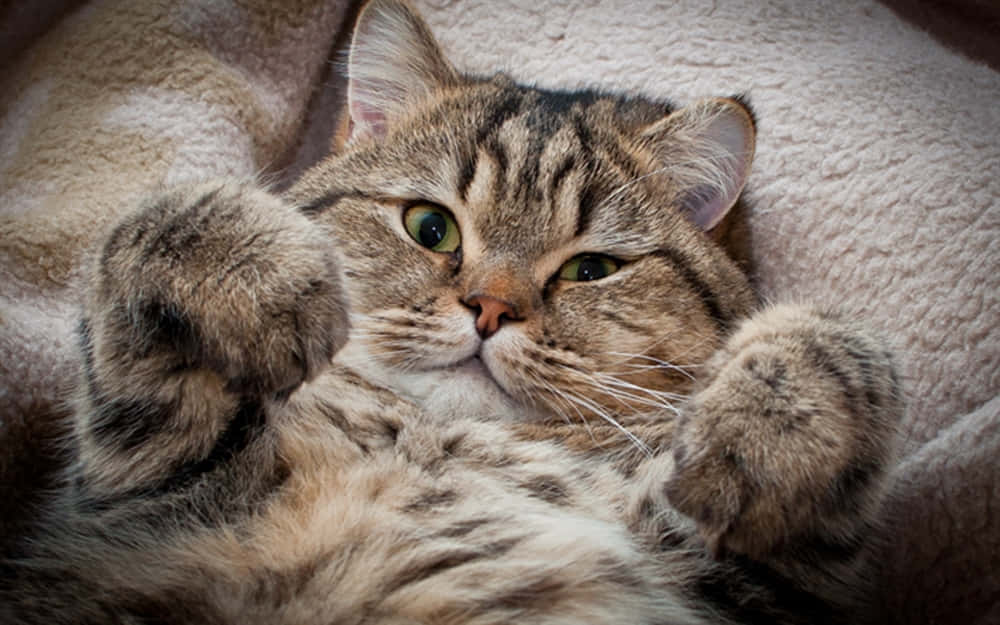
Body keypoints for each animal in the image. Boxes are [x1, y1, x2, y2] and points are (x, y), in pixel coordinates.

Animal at [0, 1, 904, 624]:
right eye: (430, 227)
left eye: (592, 269)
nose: (490, 308)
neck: (442, 438)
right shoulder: (137, 502)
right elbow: (153, 223)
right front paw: (263, 270)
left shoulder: (758, 588)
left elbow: (842, 351)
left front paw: (769, 425)